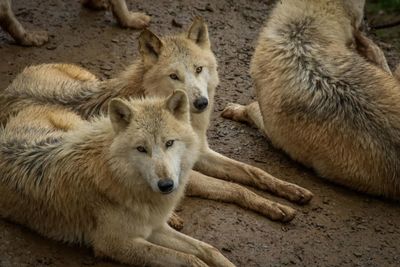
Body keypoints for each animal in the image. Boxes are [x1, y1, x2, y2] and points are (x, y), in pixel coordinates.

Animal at [0, 17, 312, 224]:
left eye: (199, 69)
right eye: (174, 76)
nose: (201, 103)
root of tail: (11, 87)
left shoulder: (201, 152)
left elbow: (253, 172)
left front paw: (291, 190)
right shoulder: (180, 171)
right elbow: (236, 188)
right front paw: (274, 207)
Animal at [0, 90, 234, 267]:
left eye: (169, 143)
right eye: (141, 149)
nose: (166, 185)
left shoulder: (153, 228)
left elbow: (208, 249)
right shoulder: (114, 244)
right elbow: (189, 259)